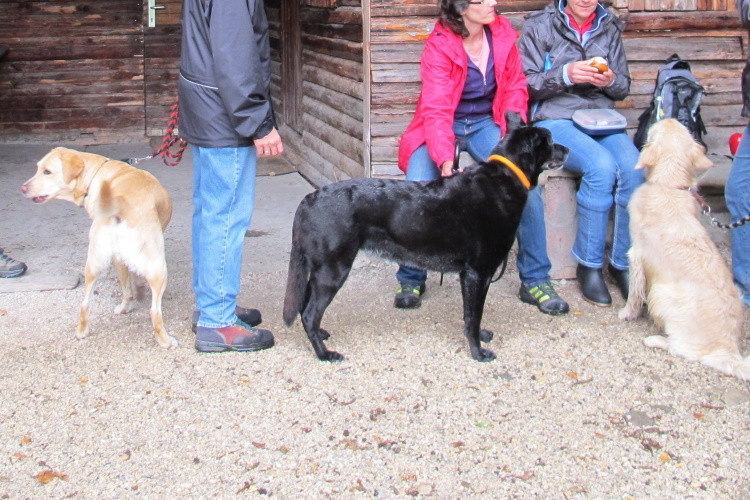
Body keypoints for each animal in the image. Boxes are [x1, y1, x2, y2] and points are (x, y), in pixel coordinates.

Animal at [20, 147, 176, 348]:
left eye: (46, 171)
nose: (23, 188)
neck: (95, 175)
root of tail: (119, 207)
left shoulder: (118, 258)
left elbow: (129, 284)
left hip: (93, 263)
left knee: (86, 303)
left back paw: (83, 331)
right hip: (159, 269)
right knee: (155, 312)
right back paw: (166, 341)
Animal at [284, 124, 568, 360]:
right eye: (549, 140)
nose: (567, 150)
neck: (506, 178)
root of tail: (308, 200)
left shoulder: (470, 275)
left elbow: (470, 315)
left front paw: (480, 337)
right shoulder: (478, 273)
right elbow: (475, 315)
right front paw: (478, 352)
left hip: (320, 269)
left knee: (306, 306)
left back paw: (321, 335)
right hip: (333, 270)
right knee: (309, 313)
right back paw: (324, 354)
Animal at [620, 120, 748, 378]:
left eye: (655, 132)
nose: (667, 119)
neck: (668, 185)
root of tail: (728, 348)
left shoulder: (636, 253)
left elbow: (635, 291)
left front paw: (628, 313)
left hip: (661, 295)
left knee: (683, 349)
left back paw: (656, 340)